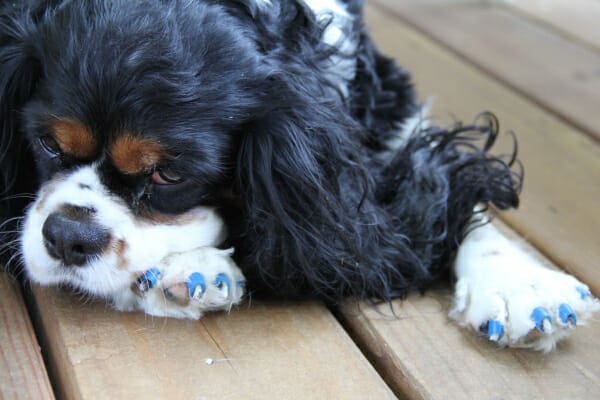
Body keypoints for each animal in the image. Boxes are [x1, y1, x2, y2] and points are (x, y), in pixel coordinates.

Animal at [2, 0, 596, 350]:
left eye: (169, 174)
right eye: (47, 143)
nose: (68, 237)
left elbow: (445, 187)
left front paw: (520, 283)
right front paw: (190, 271)